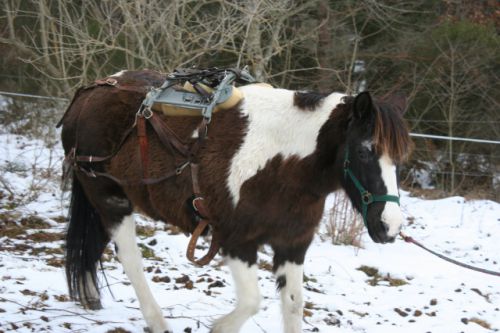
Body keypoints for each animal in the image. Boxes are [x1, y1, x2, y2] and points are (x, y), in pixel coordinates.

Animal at [59, 68, 410, 330]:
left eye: (400, 159)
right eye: (364, 151)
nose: (389, 227)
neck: (282, 164)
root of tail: (91, 92)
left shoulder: (292, 245)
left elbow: (294, 306)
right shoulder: (237, 241)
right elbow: (252, 302)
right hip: (110, 200)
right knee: (131, 260)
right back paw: (156, 321)